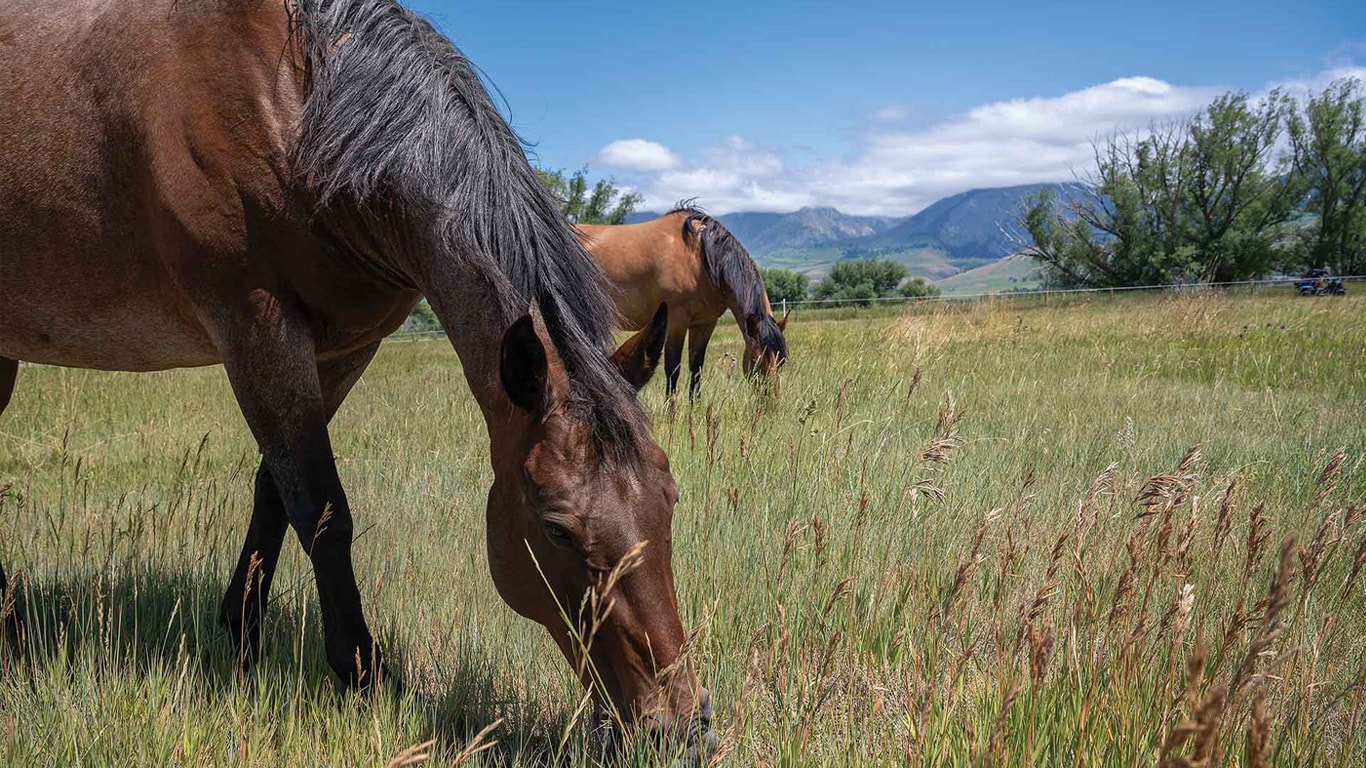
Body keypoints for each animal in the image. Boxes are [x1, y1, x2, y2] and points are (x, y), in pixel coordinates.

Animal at [0, 0, 713, 749]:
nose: (683, 725)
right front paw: (362, 673)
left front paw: (241, 634)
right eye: (557, 530)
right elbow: (322, 508)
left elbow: (275, 490)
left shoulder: (344, 348)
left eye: (670, 499)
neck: (298, 110)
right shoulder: (255, 325)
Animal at [579, 206, 790, 398]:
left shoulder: (705, 323)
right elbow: (673, 369)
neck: (700, 257)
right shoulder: (676, 321)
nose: (772, 404)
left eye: (782, 361)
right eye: (756, 359)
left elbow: (696, 368)